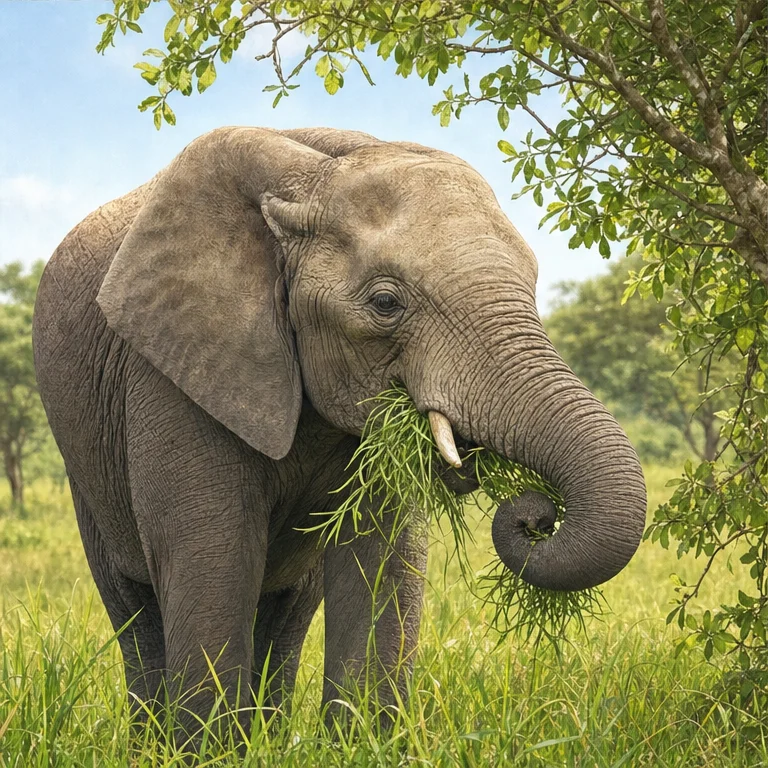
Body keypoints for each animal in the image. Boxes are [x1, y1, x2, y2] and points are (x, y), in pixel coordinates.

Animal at [32, 126, 646, 734]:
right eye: (385, 303)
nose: (537, 515)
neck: (310, 178)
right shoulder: (172, 371)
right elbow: (213, 560)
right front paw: (208, 749)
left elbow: (382, 556)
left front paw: (359, 741)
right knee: (135, 611)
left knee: (286, 611)